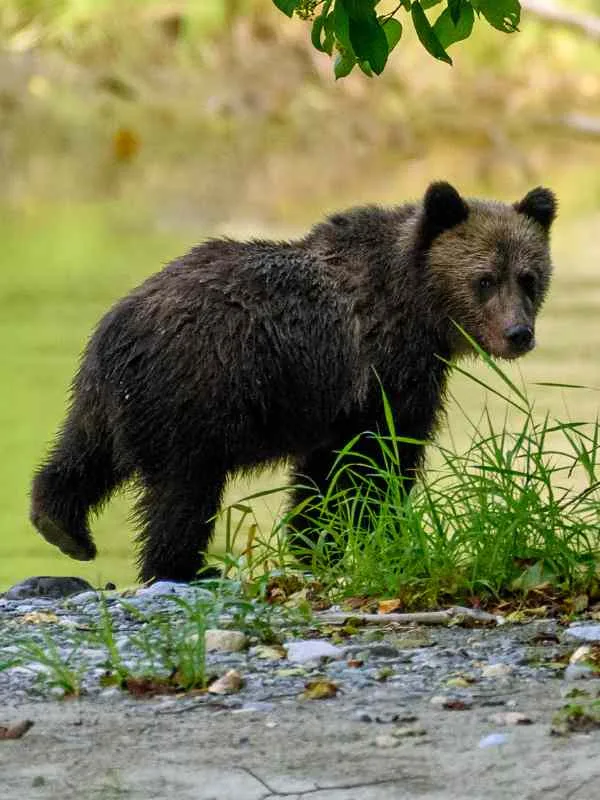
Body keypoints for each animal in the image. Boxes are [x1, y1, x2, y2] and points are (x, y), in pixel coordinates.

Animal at [30, 182, 556, 583]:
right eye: (485, 279)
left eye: (528, 277)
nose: (519, 333)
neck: (417, 301)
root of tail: (120, 326)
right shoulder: (383, 370)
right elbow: (384, 455)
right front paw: (379, 534)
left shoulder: (337, 399)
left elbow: (325, 471)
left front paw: (314, 543)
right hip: (195, 391)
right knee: (182, 494)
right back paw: (183, 568)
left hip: (107, 396)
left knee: (84, 452)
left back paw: (61, 524)